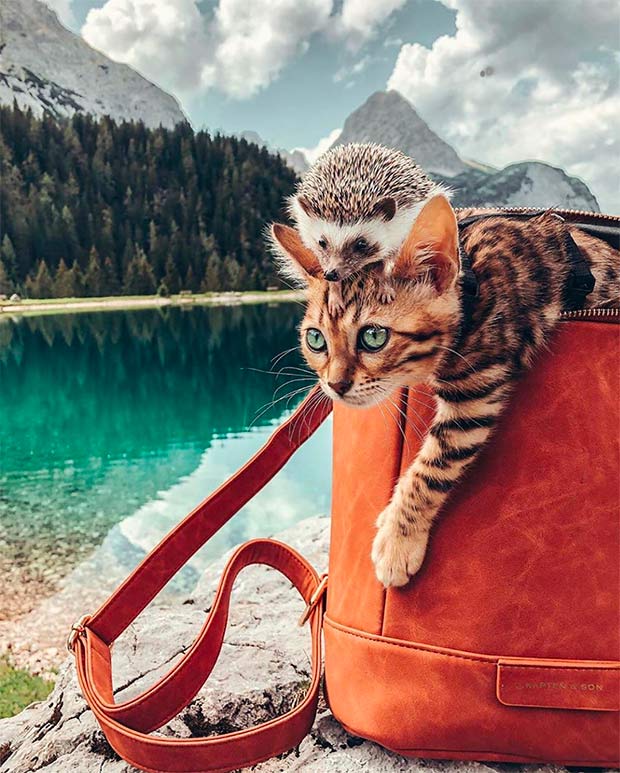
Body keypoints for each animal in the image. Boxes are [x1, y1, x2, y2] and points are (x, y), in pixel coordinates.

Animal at [272, 198, 620, 584]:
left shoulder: (476, 391)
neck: (471, 286)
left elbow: (432, 469)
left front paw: (397, 539)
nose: (335, 385)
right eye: (315, 339)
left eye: (374, 336)